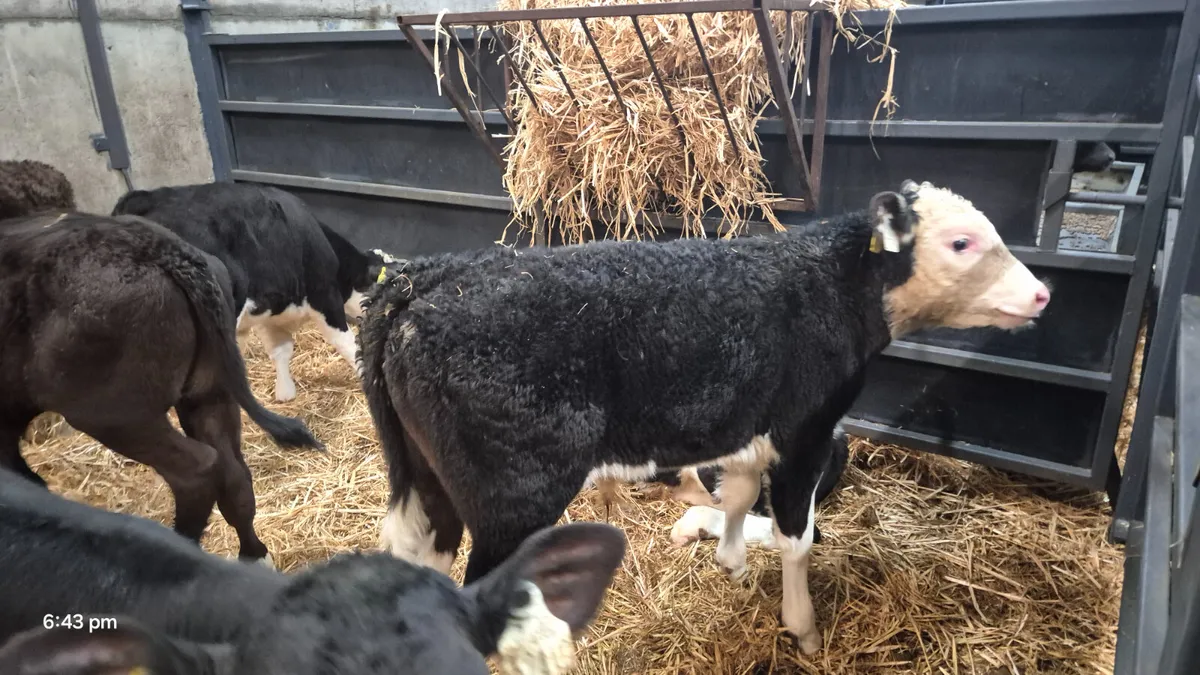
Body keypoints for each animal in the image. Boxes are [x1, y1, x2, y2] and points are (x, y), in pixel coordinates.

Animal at [0, 212, 322, 564]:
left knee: (196, 474)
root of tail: (155, 246)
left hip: (115, 415)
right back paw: (253, 555)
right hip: (209, 392)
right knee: (234, 476)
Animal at [112, 182, 406, 402]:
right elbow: (347, 344)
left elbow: (281, 350)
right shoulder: (325, 298)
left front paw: (285, 392)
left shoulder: (267, 310)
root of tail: (145, 199)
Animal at [357, 179, 1051, 653]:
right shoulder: (806, 434)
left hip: (431, 481)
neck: (829, 284)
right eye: (961, 242)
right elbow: (797, 538)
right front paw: (802, 628)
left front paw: (731, 560)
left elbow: (738, 496)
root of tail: (423, 279)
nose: (1042, 294)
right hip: (512, 496)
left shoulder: (745, 426)